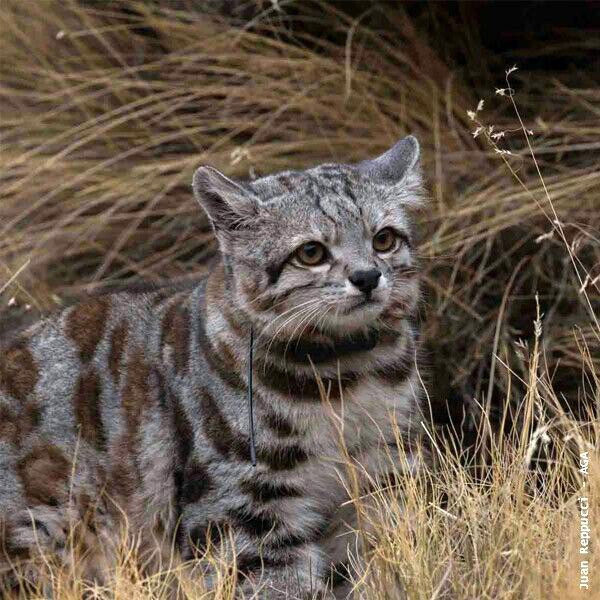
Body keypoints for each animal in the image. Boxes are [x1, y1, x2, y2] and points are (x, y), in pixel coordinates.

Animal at [2, 134, 428, 596]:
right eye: (311, 252)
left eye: (383, 239)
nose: (367, 277)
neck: (344, 374)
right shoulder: (241, 508)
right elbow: (281, 585)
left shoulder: (385, 473)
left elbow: (383, 566)